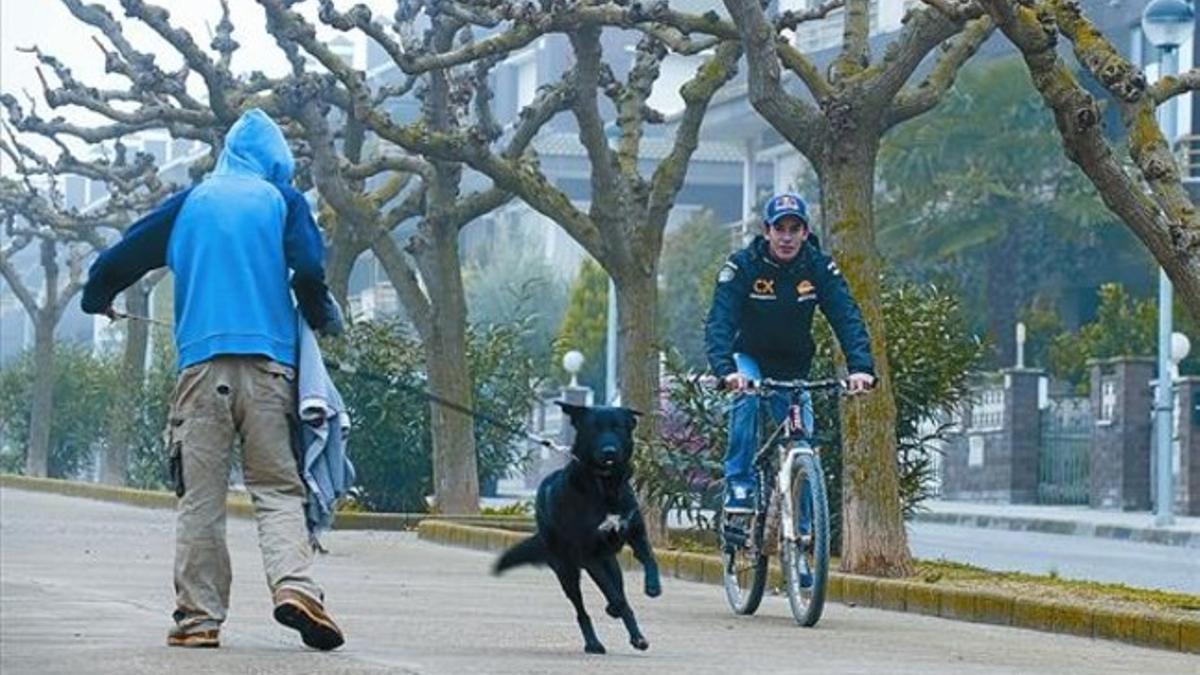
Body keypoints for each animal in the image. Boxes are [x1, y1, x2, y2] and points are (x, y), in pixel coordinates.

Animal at [496, 401, 667, 648]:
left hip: (610, 563)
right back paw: (594, 642)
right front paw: (618, 608)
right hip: (566, 570)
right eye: (594, 429)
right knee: (582, 609)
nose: (609, 451)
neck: (606, 486)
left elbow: (648, 558)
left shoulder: (635, 534)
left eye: (618, 428)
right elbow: (615, 596)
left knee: (617, 586)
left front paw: (653, 587)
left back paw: (632, 631)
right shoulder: (589, 555)